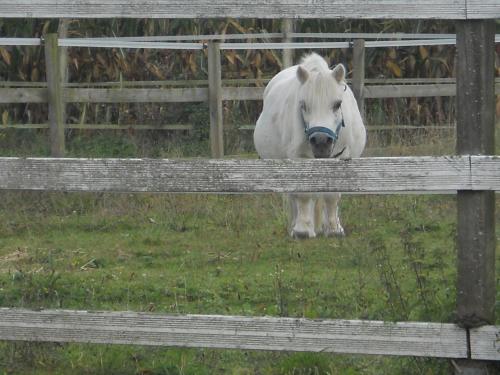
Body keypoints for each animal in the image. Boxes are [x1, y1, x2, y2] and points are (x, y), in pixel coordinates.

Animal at [254, 53, 368, 238]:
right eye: (303, 105)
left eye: (337, 104)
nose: (321, 141)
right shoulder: (299, 160)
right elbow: (303, 194)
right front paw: (302, 230)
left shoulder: (341, 158)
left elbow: (331, 195)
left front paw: (334, 229)